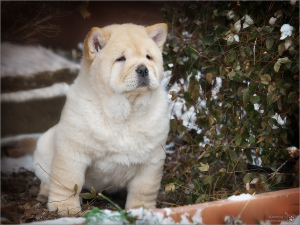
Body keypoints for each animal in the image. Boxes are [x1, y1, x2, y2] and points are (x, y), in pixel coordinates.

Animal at [33, 23, 170, 215]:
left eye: (148, 57)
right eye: (121, 59)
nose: (143, 69)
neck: (125, 112)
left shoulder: (152, 159)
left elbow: (144, 189)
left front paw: (140, 210)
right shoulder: (72, 150)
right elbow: (67, 181)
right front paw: (64, 207)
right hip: (44, 145)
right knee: (47, 178)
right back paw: (46, 193)